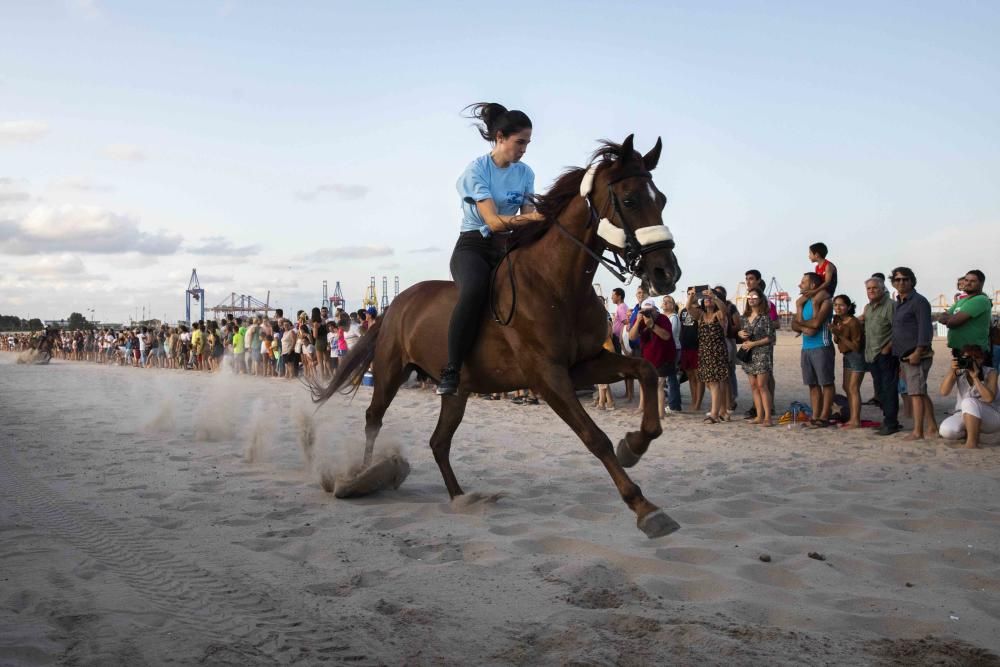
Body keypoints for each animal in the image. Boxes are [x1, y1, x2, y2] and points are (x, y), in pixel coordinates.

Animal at [312, 134, 684, 536]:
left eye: (662, 199)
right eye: (629, 200)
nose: (667, 273)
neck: (557, 284)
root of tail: (397, 303)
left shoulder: (584, 364)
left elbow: (646, 370)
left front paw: (634, 445)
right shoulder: (548, 375)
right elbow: (594, 437)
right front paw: (644, 507)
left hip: (457, 390)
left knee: (438, 442)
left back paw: (461, 497)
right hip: (390, 371)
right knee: (373, 419)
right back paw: (361, 478)